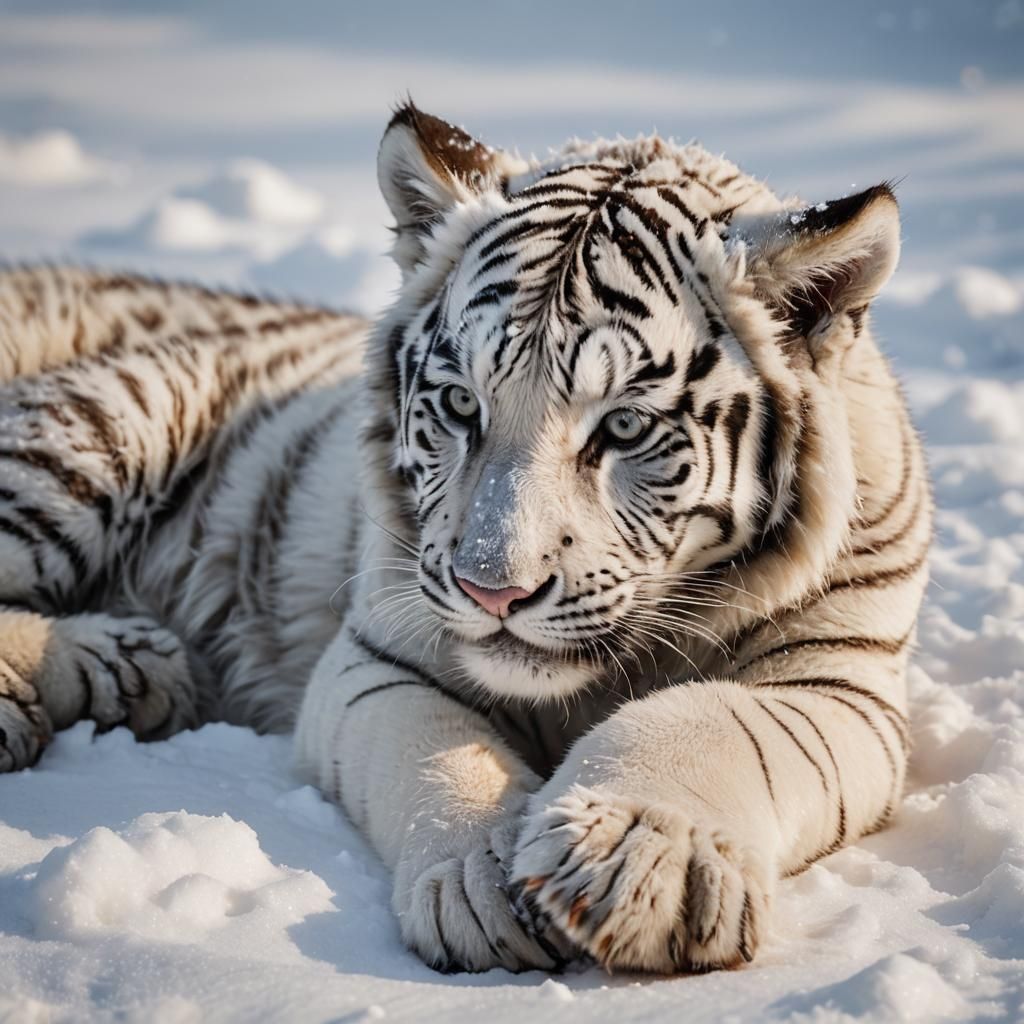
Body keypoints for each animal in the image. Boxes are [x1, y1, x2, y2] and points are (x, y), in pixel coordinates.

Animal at [0, 103, 930, 976]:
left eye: (625, 426)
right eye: (459, 404)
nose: (495, 591)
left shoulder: (839, 684)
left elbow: (712, 719)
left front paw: (640, 858)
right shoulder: (379, 654)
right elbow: (439, 749)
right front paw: (483, 885)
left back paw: (133, 674)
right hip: (104, 425)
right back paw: (103, 671)